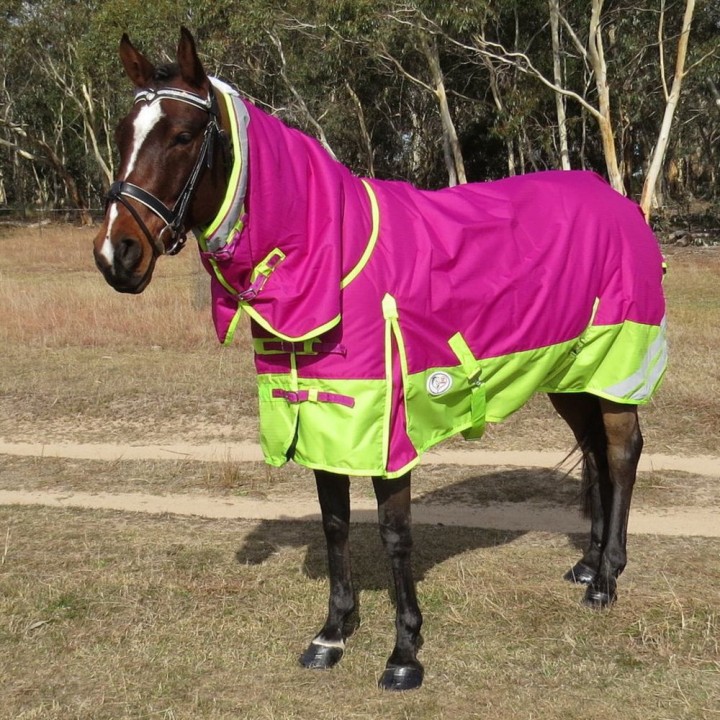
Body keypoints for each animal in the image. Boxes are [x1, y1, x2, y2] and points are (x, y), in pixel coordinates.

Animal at [93, 28, 667, 691]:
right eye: (121, 132)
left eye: (183, 136)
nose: (116, 254)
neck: (330, 256)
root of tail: (620, 202)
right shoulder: (320, 415)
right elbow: (336, 524)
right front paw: (333, 632)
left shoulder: (386, 426)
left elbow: (395, 534)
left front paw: (404, 652)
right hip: (567, 373)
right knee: (596, 453)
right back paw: (588, 563)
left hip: (614, 366)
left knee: (622, 453)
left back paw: (606, 578)